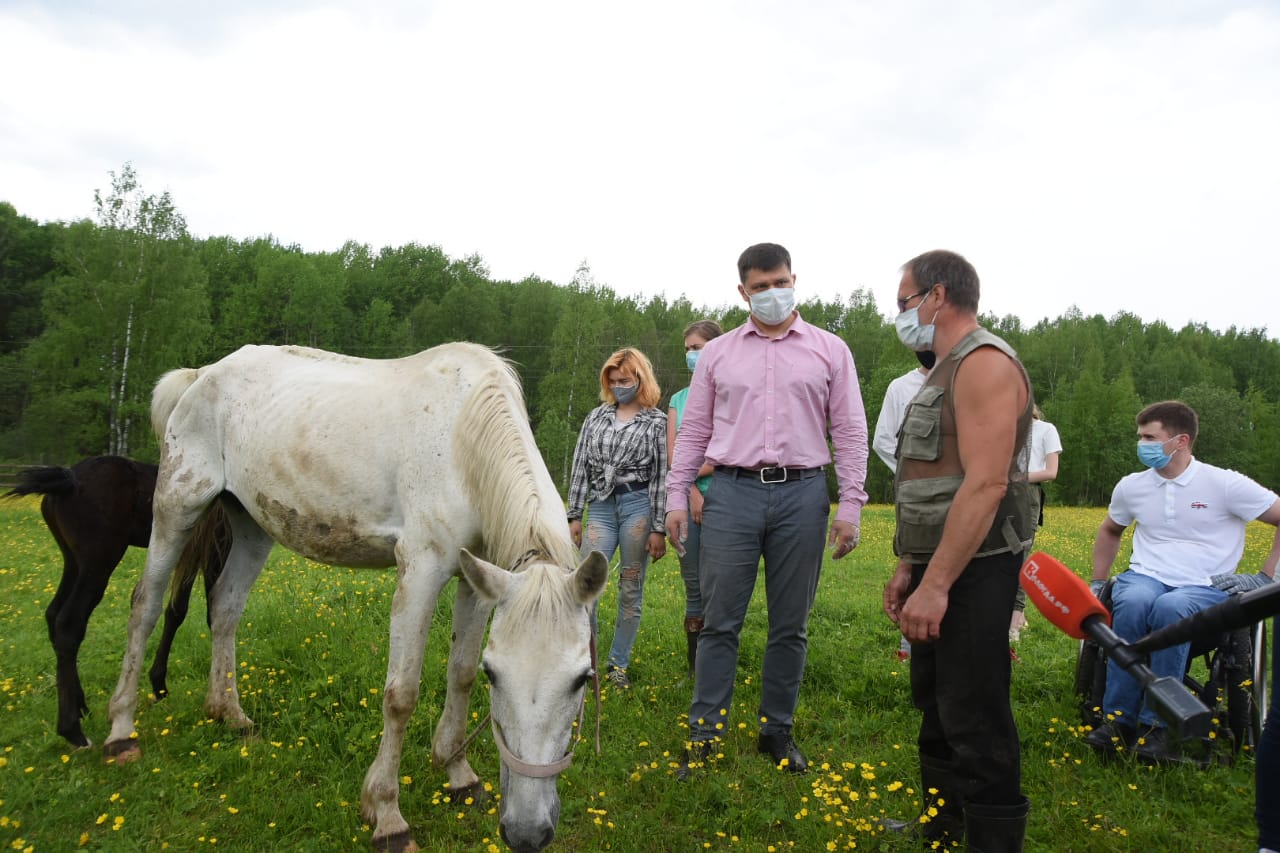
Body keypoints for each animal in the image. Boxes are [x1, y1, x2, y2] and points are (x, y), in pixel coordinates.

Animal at [3, 455, 230, 742]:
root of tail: (68, 480)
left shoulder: (193, 553)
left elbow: (176, 611)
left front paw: (159, 686)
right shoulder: (215, 548)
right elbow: (208, 612)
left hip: (74, 562)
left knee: (53, 615)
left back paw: (81, 706)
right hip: (98, 563)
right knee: (68, 623)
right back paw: (73, 730)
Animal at [104, 343, 609, 845]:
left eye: (582, 678)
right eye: (497, 676)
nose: (527, 833)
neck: (462, 442)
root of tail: (201, 375)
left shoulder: (478, 582)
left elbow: (459, 674)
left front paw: (458, 774)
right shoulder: (420, 572)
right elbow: (401, 695)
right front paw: (387, 815)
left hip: (249, 524)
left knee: (225, 608)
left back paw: (229, 713)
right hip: (177, 507)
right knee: (144, 606)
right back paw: (121, 732)